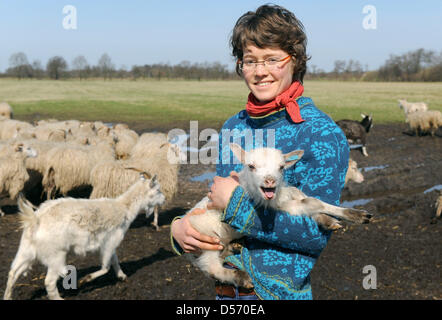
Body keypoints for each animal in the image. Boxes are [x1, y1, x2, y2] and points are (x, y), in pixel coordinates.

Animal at [3, 172, 166, 300]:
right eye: (158, 190)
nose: (164, 200)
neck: (123, 208)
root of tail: (35, 219)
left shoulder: (109, 243)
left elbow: (115, 260)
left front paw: (122, 276)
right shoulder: (111, 241)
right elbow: (106, 266)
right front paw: (85, 280)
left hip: (26, 249)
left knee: (13, 272)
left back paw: (7, 296)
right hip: (56, 255)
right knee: (48, 281)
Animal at [185, 144, 372, 286]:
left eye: (281, 167)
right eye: (251, 166)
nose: (270, 181)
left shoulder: (285, 196)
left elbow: (302, 195)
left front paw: (342, 217)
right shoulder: (270, 206)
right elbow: (311, 202)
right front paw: (333, 216)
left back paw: (233, 247)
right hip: (206, 244)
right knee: (213, 269)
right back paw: (242, 278)